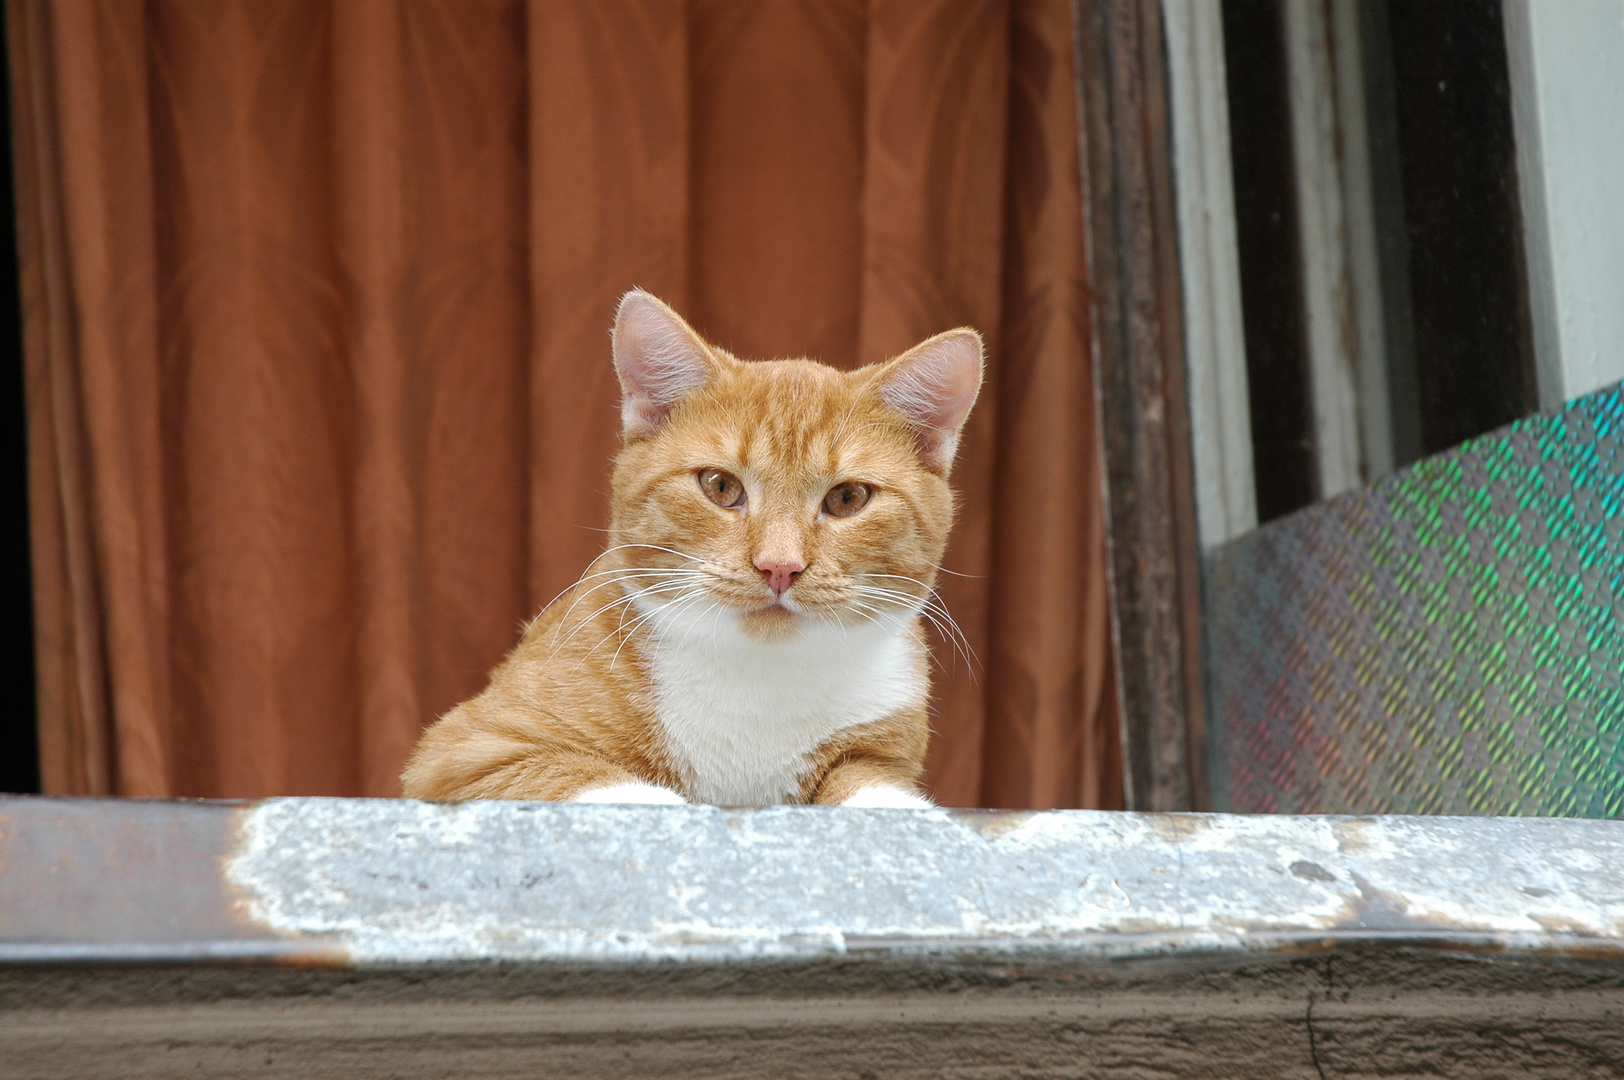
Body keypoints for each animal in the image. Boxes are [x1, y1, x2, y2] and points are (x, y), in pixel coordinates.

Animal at [399, 290, 980, 805]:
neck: (758, 686)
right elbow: (611, 787)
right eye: (720, 487)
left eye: (847, 498)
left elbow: (871, 788)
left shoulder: (882, 750)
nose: (779, 566)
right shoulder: (469, 751)